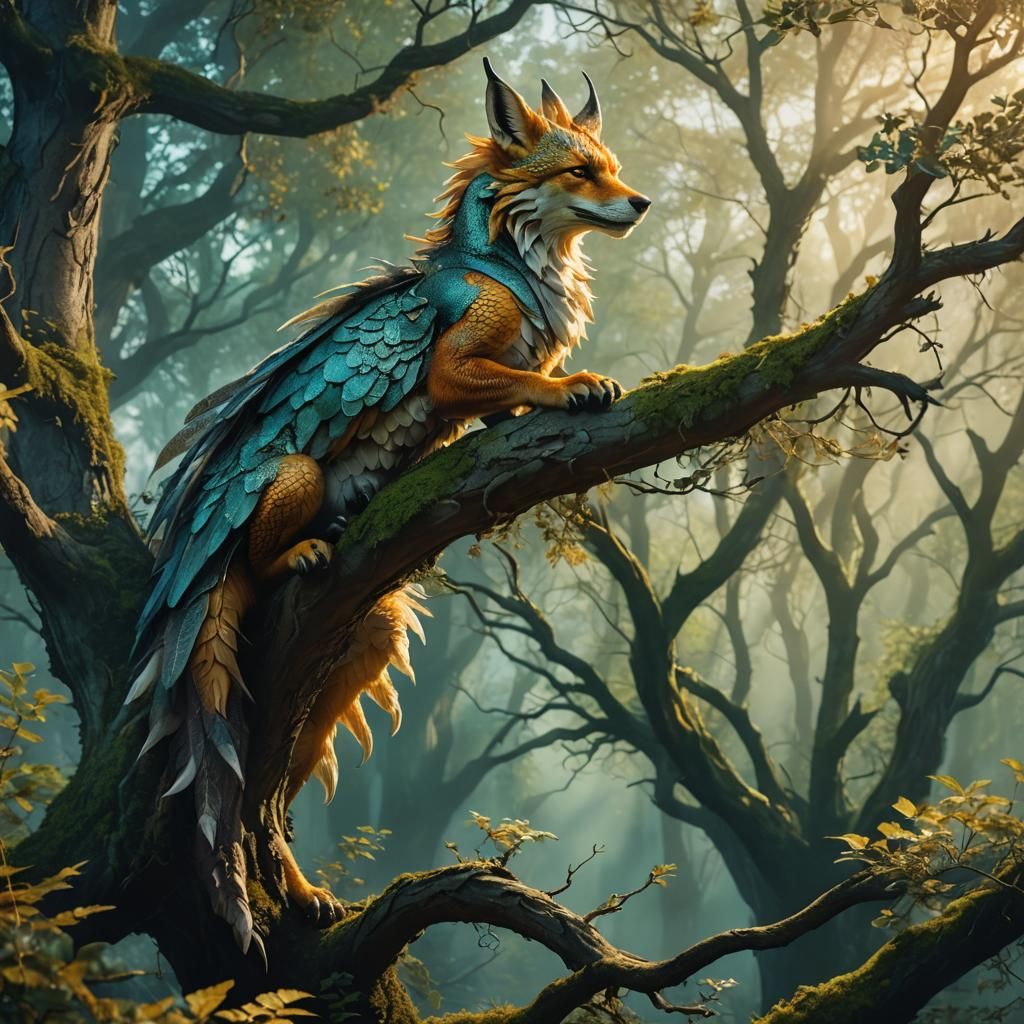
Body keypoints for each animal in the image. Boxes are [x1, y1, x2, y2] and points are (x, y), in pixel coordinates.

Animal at [127, 58, 651, 947]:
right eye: (582, 172)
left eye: (611, 165)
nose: (641, 202)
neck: (513, 268)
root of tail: (187, 564)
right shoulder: (451, 370)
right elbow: (522, 382)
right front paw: (575, 385)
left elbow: (512, 400)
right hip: (291, 478)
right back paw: (298, 550)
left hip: (368, 637)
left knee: (272, 795)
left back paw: (301, 890)